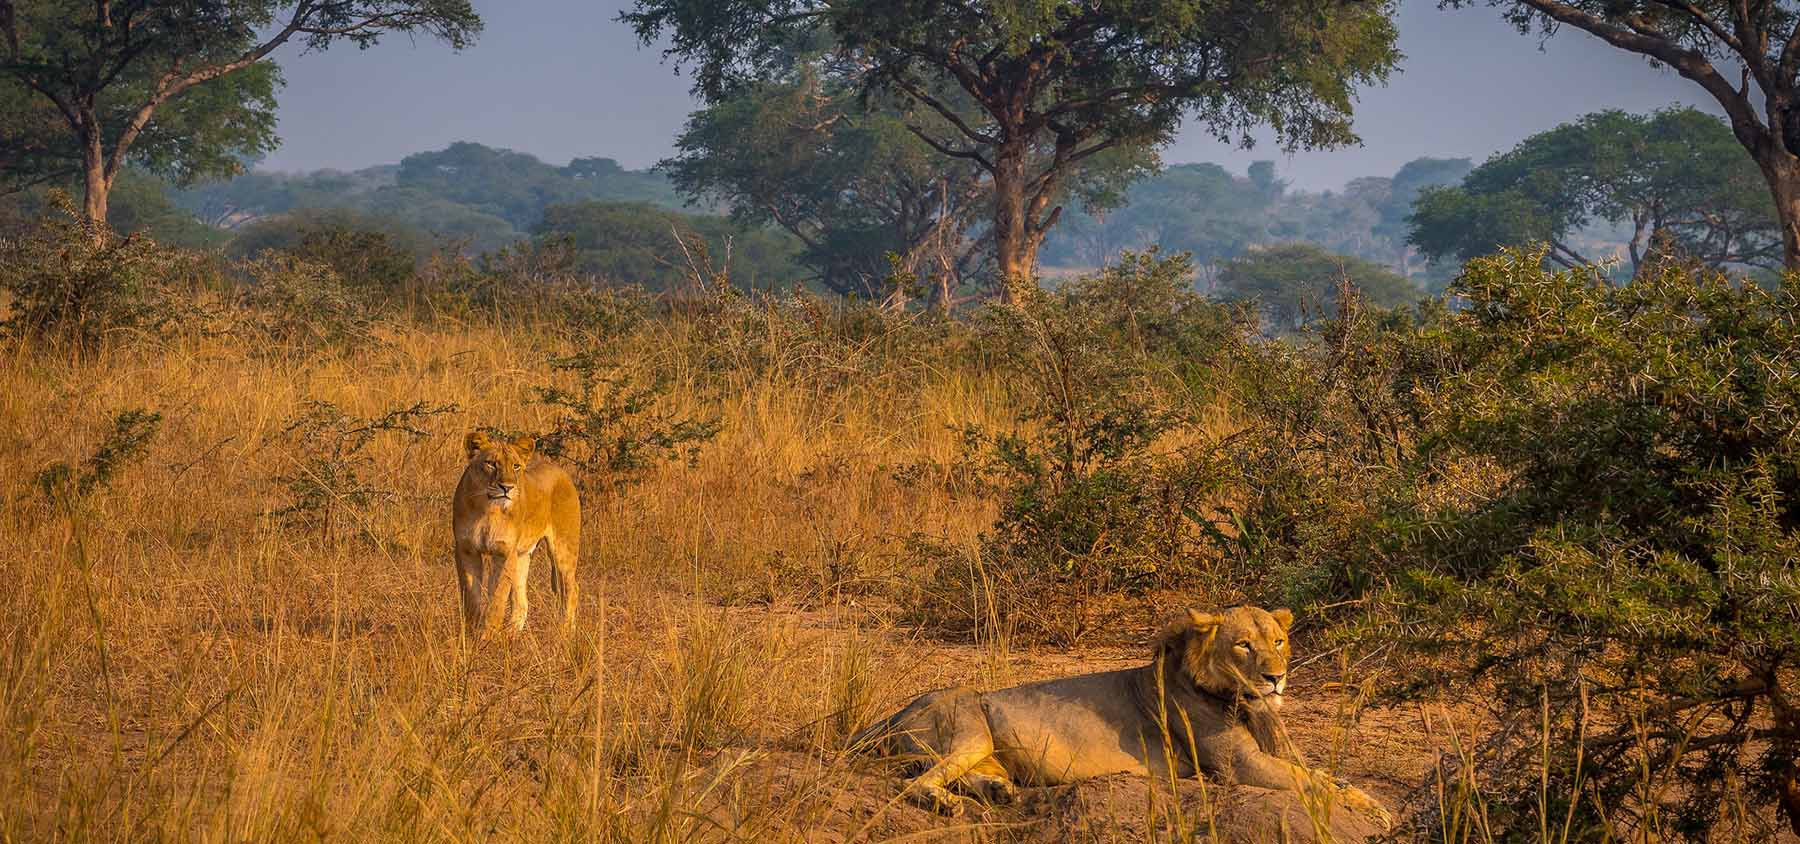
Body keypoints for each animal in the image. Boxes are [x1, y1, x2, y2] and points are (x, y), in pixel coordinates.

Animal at [452, 431, 581, 636]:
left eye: (516, 466)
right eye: (491, 463)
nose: (507, 488)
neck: (488, 509)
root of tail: (561, 471)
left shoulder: (505, 552)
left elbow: (497, 598)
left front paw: (487, 636)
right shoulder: (466, 550)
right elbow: (471, 595)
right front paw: (472, 633)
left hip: (563, 548)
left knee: (571, 588)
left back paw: (565, 632)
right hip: (522, 556)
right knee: (522, 601)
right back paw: (513, 634)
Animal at [852, 606, 1390, 829]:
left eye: (1278, 642)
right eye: (1243, 645)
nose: (1276, 678)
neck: (1243, 702)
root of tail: (892, 714)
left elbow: (1328, 778)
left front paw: (1373, 804)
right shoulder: (1241, 767)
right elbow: (1315, 784)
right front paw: (1375, 813)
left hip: (983, 749)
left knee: (960, 775)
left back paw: (998, 791)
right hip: (967, 722)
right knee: (915, 782)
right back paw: (947, 805)